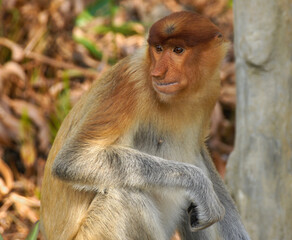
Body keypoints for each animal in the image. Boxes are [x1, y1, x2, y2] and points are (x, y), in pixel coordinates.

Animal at [40, 11, 251, 240]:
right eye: (158, 49)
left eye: (178, 50)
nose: (158, 73)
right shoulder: (131, 84)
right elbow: (73, 159)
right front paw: (199, 185)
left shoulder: (211, 88)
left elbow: (199, 152)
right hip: (94, 233)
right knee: (125, 195)